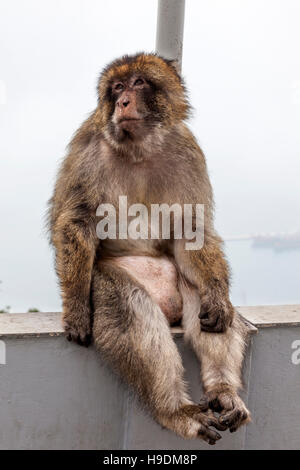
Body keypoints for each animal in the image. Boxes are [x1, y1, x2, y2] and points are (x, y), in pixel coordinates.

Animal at [48, 52, 251, 444]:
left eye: (139, 83)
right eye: (116, 87)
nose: (123, 102)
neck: (139, 148)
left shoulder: (188, 151)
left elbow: (192, 230)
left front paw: (217, 298)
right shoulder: (88, 150)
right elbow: (76, 222)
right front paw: (77, 310)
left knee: (202, 296)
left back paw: (223, 391)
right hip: (107, 277)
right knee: (130, 306)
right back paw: (175, 411)